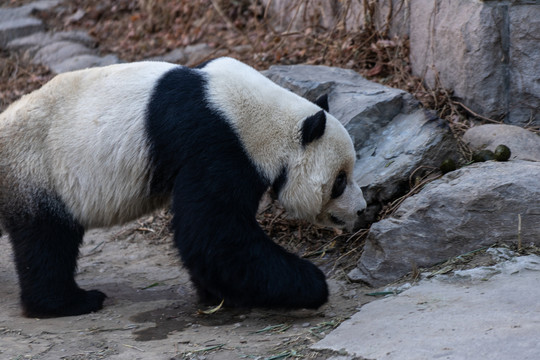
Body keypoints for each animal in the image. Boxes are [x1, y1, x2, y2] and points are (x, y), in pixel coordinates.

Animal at [0, 57, 368, 318]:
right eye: (340, 181)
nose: (362, 210)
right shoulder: (216, 142)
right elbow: (213, 235)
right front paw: (313, 284)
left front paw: (219, 294)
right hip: (36, 168)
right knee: (46, 242)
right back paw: (70, 302)